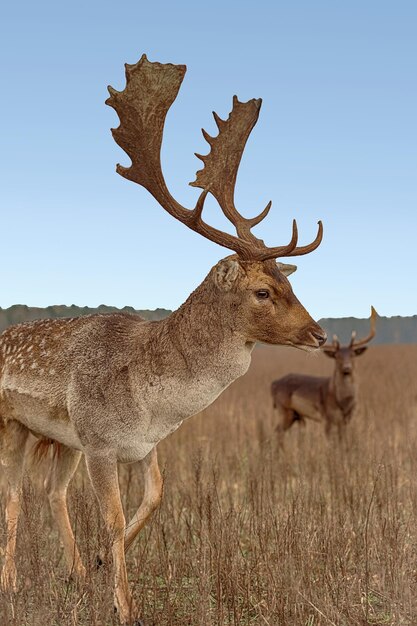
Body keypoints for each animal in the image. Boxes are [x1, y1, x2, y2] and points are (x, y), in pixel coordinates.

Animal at [0, 54, 324, 624]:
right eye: (263, 290)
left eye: (291, 283)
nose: (319, 332)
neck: (153, 400)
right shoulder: (100, 443)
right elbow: (111, 518)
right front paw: (124, 604)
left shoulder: (142, 445)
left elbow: (155, 499)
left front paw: (100, 567)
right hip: (13, 425)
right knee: (13, 494)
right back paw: (13, 583)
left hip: (60, 440)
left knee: (50, 491)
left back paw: (75, 573)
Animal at [272, 304, 376, 436]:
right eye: (337, 356)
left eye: (352, 354)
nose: (347, 367)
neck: (343, 402)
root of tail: (273, 385)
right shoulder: (327, 416)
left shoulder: (346, 420)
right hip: (284, 409)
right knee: (277, 432)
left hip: (295, 414)